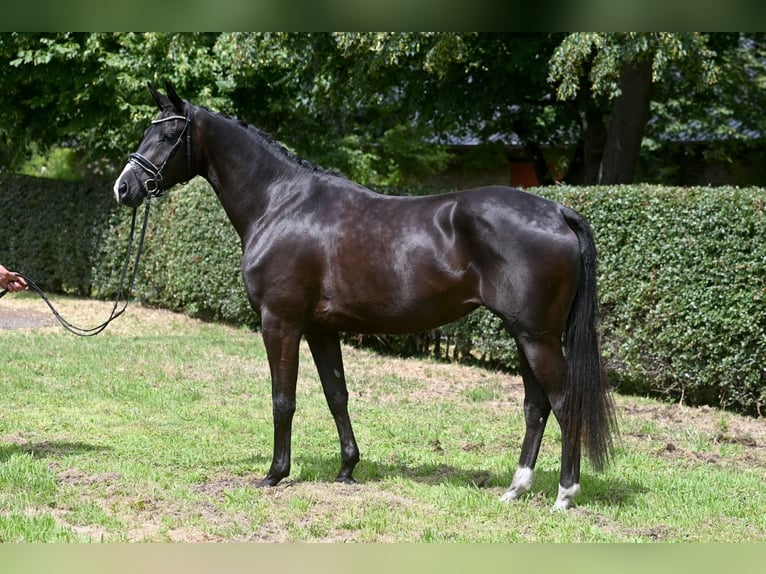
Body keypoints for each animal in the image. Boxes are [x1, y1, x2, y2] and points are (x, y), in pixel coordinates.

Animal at [114, 83, 616, 510]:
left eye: (170, 133)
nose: (124, 187)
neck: (280, 204)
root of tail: (558, 212)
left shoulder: (280, 323)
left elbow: (283, 399)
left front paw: (275, 474)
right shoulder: (321, 329)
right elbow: (337, 394)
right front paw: (346, 469)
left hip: (537, 337)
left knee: (564, 403)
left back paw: (564, 495)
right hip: (523, 335)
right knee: (536, 406)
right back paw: (516, 489)